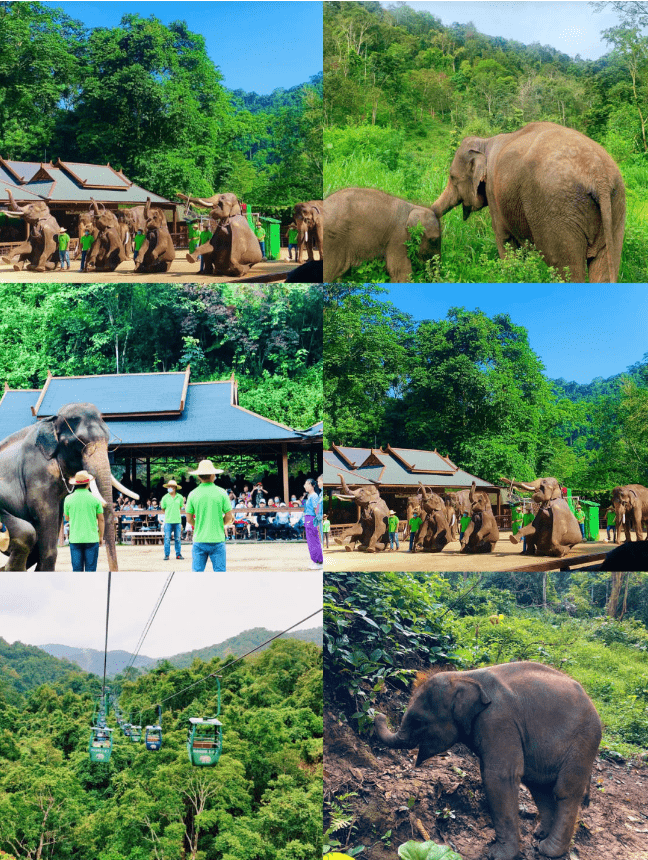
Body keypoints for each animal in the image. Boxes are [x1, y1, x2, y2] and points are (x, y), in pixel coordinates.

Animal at [0, 404, 139, 572]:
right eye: (80, 442)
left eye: (108, 441)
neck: (52, 421)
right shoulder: (37, 471)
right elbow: (44, 511)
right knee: (26, 534)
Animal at [374, 660, 604, 860]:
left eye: (419, 721)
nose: (378, 714)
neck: (463, 676)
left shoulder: (498, 720)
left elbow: (499, 777)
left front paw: (497, 855)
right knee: (539, 788)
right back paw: (539, 835)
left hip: (584, 741)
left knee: (564, 791)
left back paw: (549, 850)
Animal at [432, 122, 624, 282]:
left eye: (452, 177)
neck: (485, 141)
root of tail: (598, 174)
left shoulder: (494, 192)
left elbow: (504, 238)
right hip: (615, 205)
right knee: (604, 264)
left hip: (558, 210)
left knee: (566, 268)